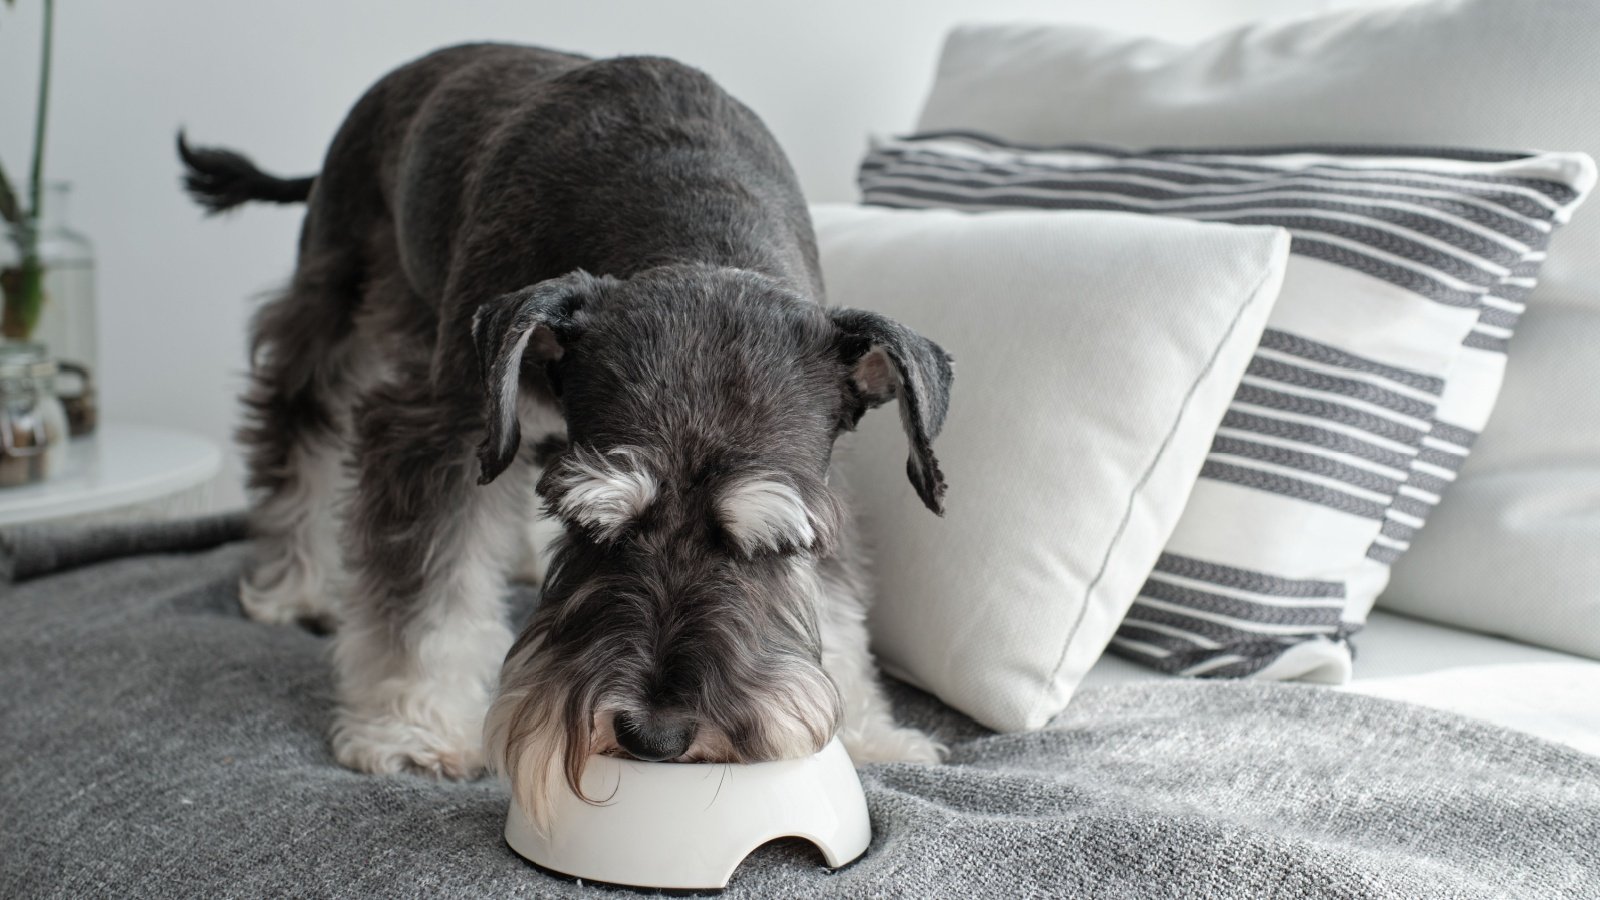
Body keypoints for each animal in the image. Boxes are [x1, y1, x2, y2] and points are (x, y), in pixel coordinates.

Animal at [178, 42, 947, 816]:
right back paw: (293, 585)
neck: (693, 224)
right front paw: (415, 728)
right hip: (340, 299)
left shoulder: (820, 484)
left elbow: (838, 603)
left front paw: (869, 731)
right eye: (592, 529)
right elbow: (428, 589)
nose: (653, 735)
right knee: (297, 426)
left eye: (776, 549)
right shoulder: (442, 429)